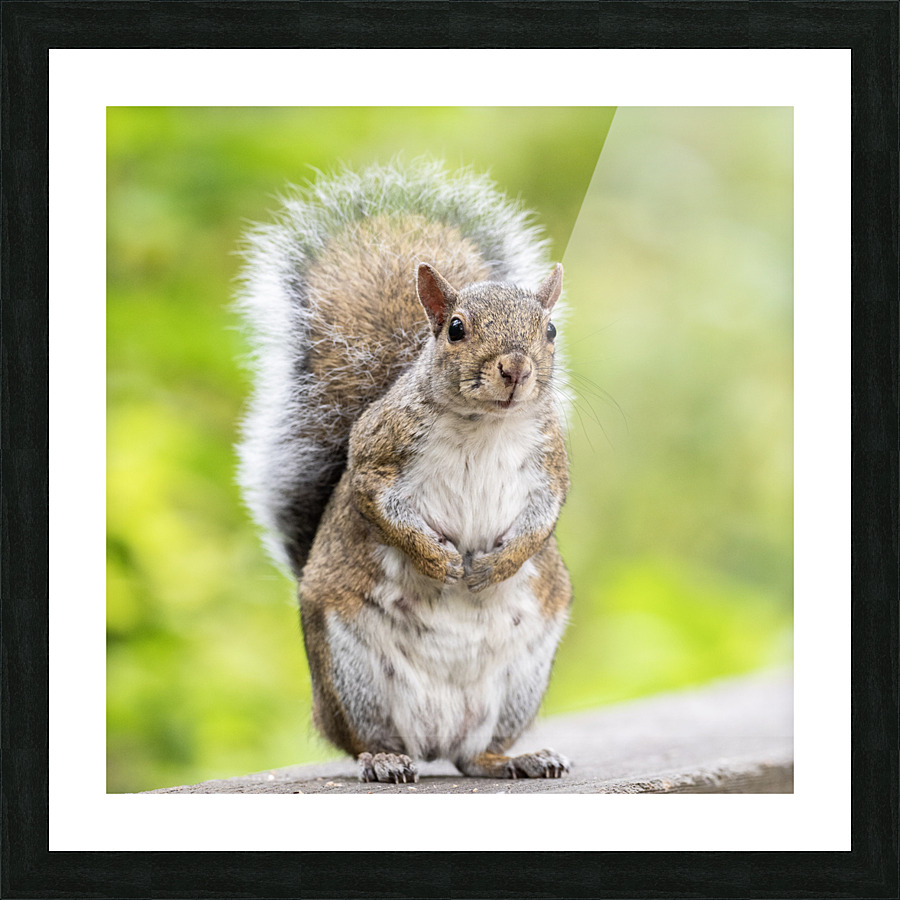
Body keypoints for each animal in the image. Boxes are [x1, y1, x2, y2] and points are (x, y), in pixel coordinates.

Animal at [237, 160, 572, 783]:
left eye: (551, 331)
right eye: (457, 329)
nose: (515, 368)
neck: (484, 426)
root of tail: (437, 739)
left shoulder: (551, 465)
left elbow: (542, 519)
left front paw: (496, 566)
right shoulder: (377, 453)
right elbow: (378, 504)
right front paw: (437, 560)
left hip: (523, 678)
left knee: (475, 756)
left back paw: (518, 758)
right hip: (351, 673)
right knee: (365, 739)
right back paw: (386, 759)